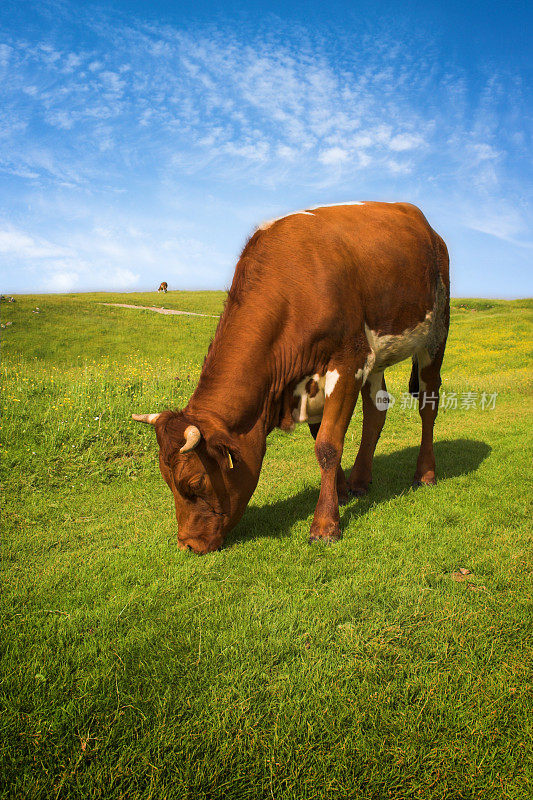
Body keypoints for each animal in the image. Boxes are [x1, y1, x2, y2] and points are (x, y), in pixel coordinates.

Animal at [131, 200, 446, 552]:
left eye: (196, 482)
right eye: (166, 480)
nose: (187, 544)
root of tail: (426, 226)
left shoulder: (349, 361)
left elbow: (328, 445)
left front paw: (325, 525)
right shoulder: (314, 381)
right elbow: (321, 436)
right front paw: (341, 493)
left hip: (435, 334)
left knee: (428, 405)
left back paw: (426, 474)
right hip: (379, 357)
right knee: (376, 412)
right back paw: (361, 481)